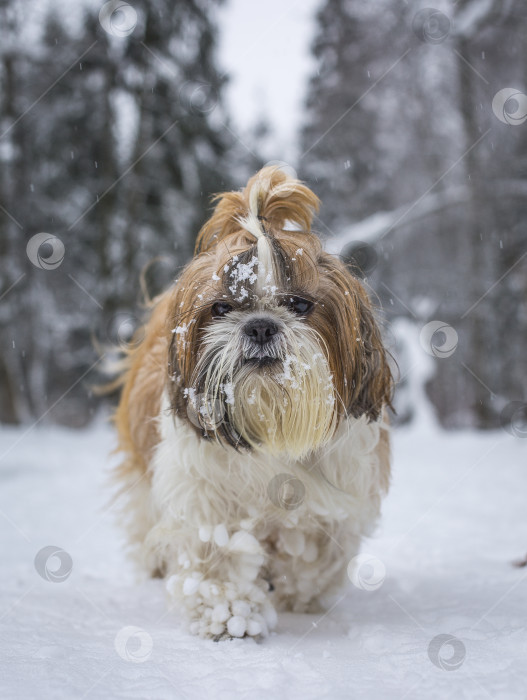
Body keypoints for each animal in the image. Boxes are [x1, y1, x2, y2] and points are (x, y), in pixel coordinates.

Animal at [116, 165, 396, 640]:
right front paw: (229, 613)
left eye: (299, 304)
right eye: (221, 308)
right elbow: (215, 552)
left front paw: (295, 593)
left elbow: (316, 551)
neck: (270, 417)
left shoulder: (339, 496)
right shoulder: (202, 489)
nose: (261, 326)